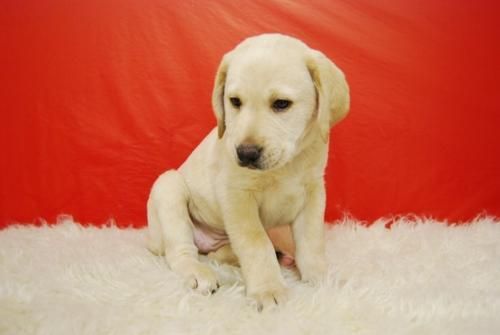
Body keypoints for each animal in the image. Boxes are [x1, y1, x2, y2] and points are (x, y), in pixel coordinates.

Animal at [146, 33, 350, 310]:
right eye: (235, 102)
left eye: (281, 104)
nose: (245, 153)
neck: (287, 165)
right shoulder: (237, 196)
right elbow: (255, 242)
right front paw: (268, 289)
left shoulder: (313, 191)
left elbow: (311, 240)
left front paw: (321, 278)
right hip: (169, 186)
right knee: (179, 252)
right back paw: (198, 273)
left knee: (219, 253)